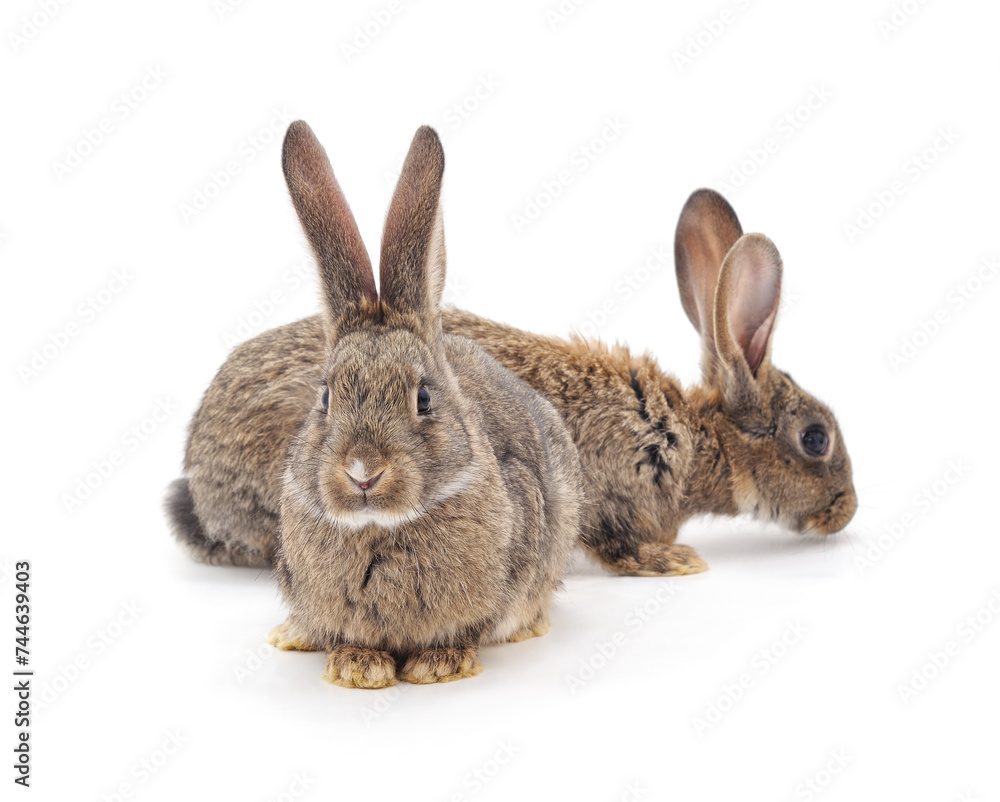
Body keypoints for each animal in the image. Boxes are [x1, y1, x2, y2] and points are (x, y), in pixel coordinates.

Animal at [168, 121, 583, 687]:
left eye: (424, 397)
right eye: (324, 396)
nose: (363, 472)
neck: (380, 527)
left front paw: (438, 665)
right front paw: (357, 667)